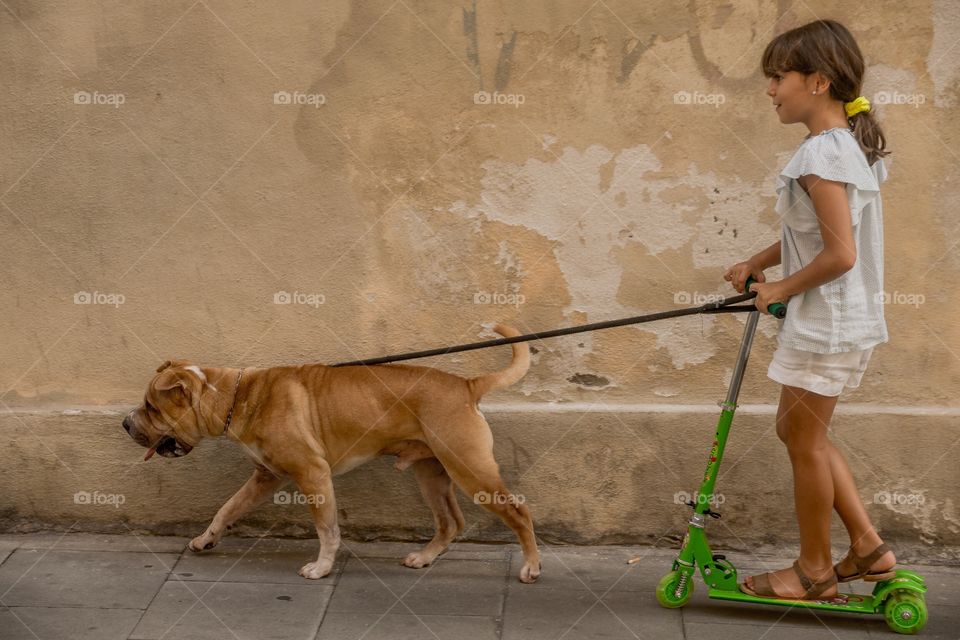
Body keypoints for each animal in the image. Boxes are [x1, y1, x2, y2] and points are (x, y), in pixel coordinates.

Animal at [122, 324, 540, 580]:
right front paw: (205, 539)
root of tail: (468, 385)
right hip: (432, 475)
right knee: (451, 521)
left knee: (519, 512)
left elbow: (327, 528)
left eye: (151, 406)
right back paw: (423, 558)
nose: (125, 423)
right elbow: (227, 508)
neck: (235, 396)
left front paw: (321, 568)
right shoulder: (264, 477)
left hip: (470, 469)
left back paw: (532, 567)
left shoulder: (313, 475)